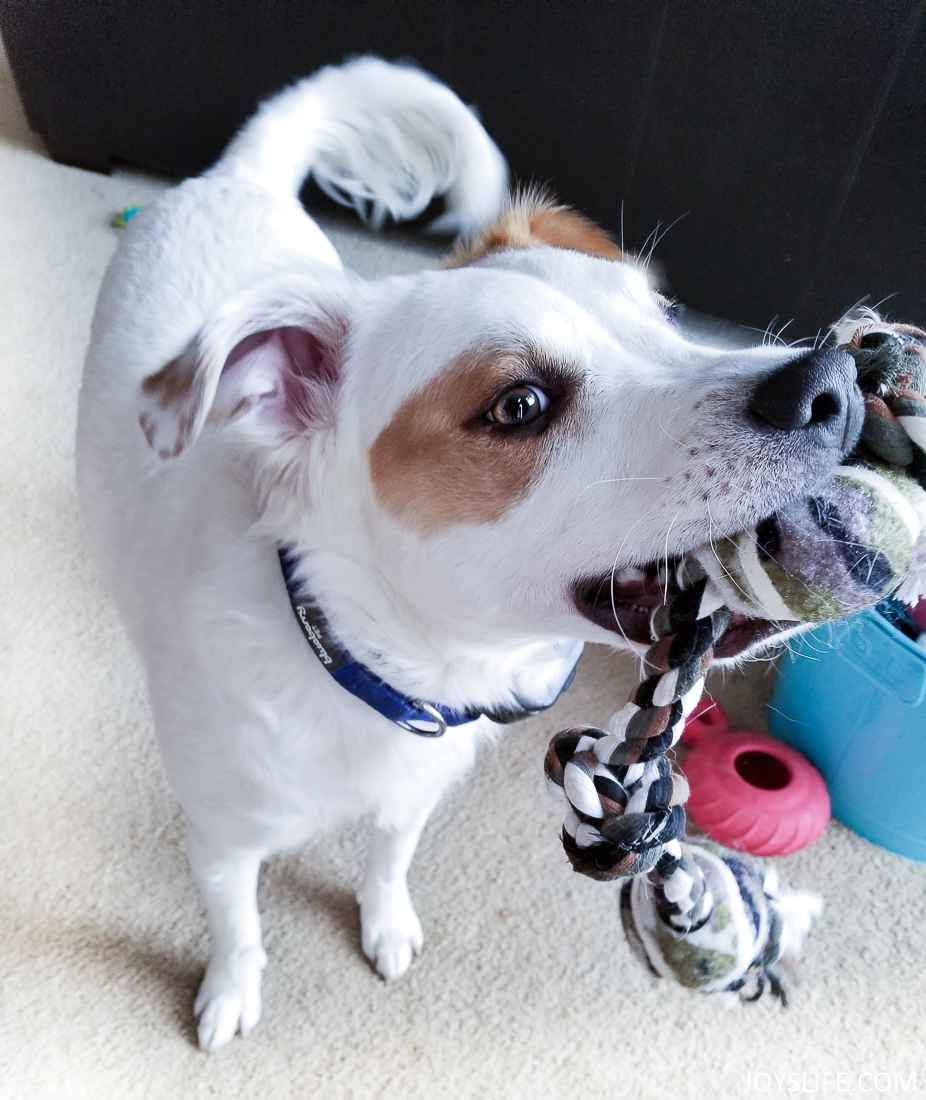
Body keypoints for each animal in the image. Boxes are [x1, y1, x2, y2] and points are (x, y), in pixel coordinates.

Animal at [75, 58, 862, 1047]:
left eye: (664, 316)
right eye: (518, 405)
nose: (833, 384)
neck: (380, 671)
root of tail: (235, 177)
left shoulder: (411, 800)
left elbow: (386, 860)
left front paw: (385, 923)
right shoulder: (221, 840)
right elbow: (238, 924)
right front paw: (231, 990)